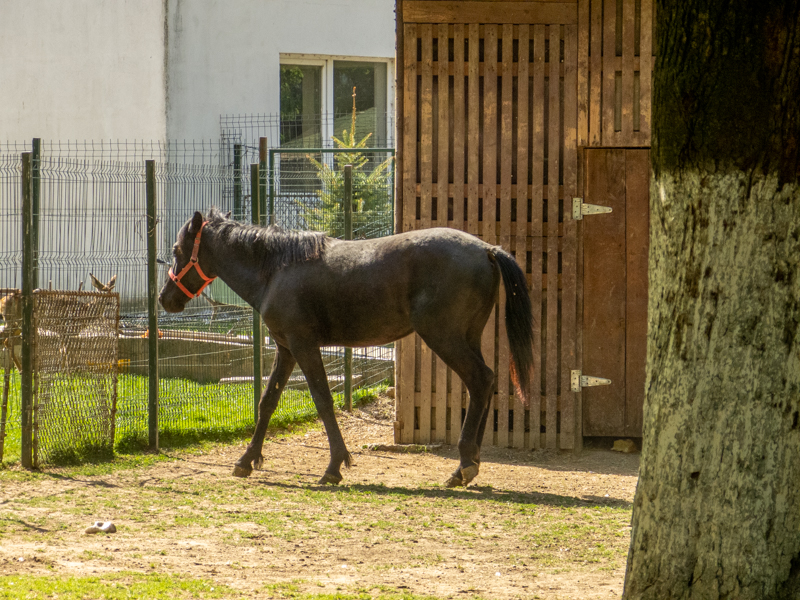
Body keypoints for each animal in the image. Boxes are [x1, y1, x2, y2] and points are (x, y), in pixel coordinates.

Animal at [159, 208, 534, 487]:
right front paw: (246, 460)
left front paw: (334, 466)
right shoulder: (285, 349)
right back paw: (472, 462)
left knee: (480, 381)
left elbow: (323, 401)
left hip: (445, 338)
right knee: (485, 382)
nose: (165, 299)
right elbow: (267, 402)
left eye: (177, 251)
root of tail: (487, 250)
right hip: (466, 338)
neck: (276, 270)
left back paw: (463, 465)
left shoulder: (304, 346)